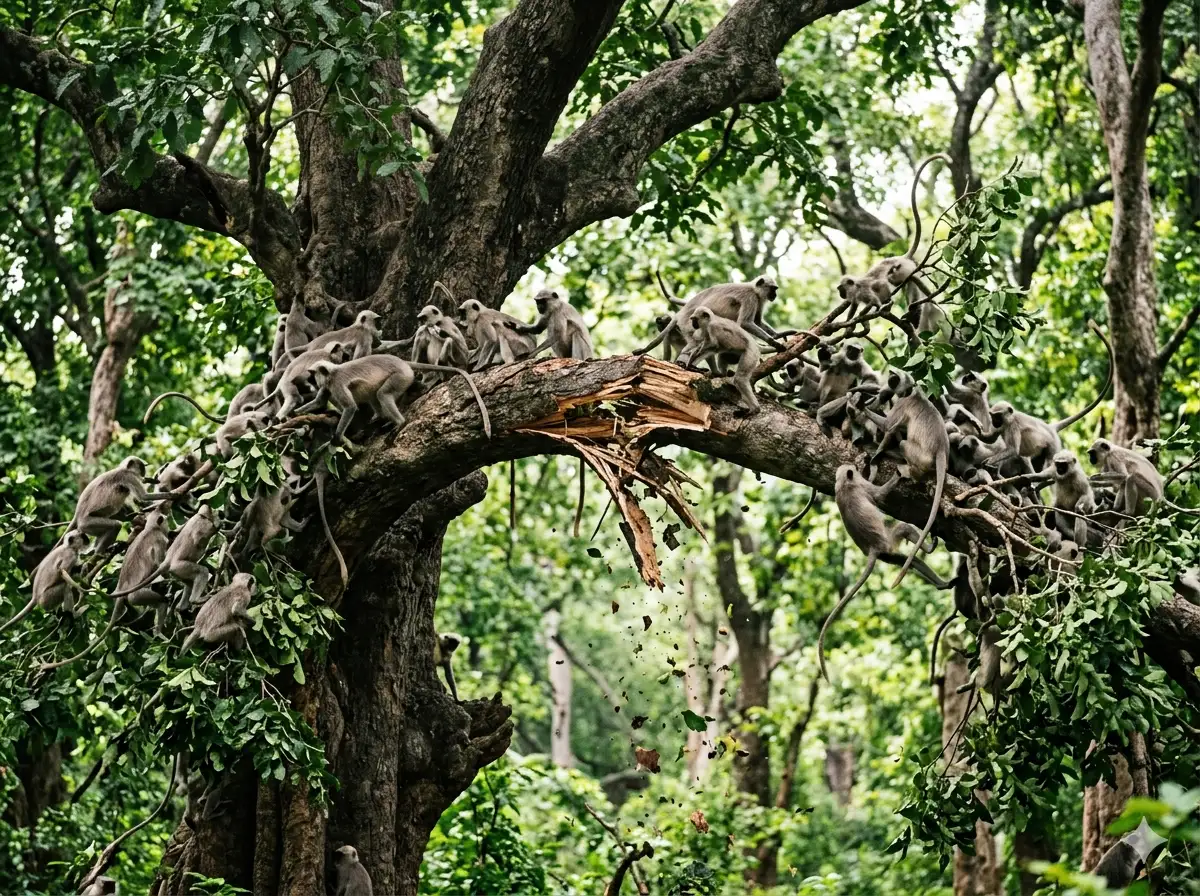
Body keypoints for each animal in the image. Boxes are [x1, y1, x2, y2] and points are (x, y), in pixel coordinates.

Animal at [297, 354, 492, 442]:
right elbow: (320, 401)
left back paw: (399, 423)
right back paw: (382, 418)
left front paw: (337, 436)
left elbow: (350, 407)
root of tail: (402, 362)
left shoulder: (336, 383)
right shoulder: (328, 386)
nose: (312, 383)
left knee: (381, 394)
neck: (332, 373)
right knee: (374, 394)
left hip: (401, 376)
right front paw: (288, 416)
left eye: (312, 376)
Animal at [634, 274, 794, 357]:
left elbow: (757, 321)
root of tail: (680, 313)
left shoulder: (759, 300)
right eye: (773, 289)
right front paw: (774, 343)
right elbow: (746, 323)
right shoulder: (751, 298)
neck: (753, 289)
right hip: (688, 324)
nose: (775, 295)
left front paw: (779, 335)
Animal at [818, 465, 951, 680]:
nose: (856, 468)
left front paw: (870, 467)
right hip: (889, 539)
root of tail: (873, 549)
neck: (844, 484)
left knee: (909, 561)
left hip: (887, 552)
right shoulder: (863, 488)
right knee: (903, 529)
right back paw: (931, 551)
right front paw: (896, 474)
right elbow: (880, 494)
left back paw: (942, 584)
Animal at [867, 371, 949, 588]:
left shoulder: (902, 404)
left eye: (895, 380)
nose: (889, 381)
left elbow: (888, 426)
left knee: (904, 442)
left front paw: (855, 405)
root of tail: (941, 449)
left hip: (919, 456)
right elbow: (890, 430)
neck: (914, 393)